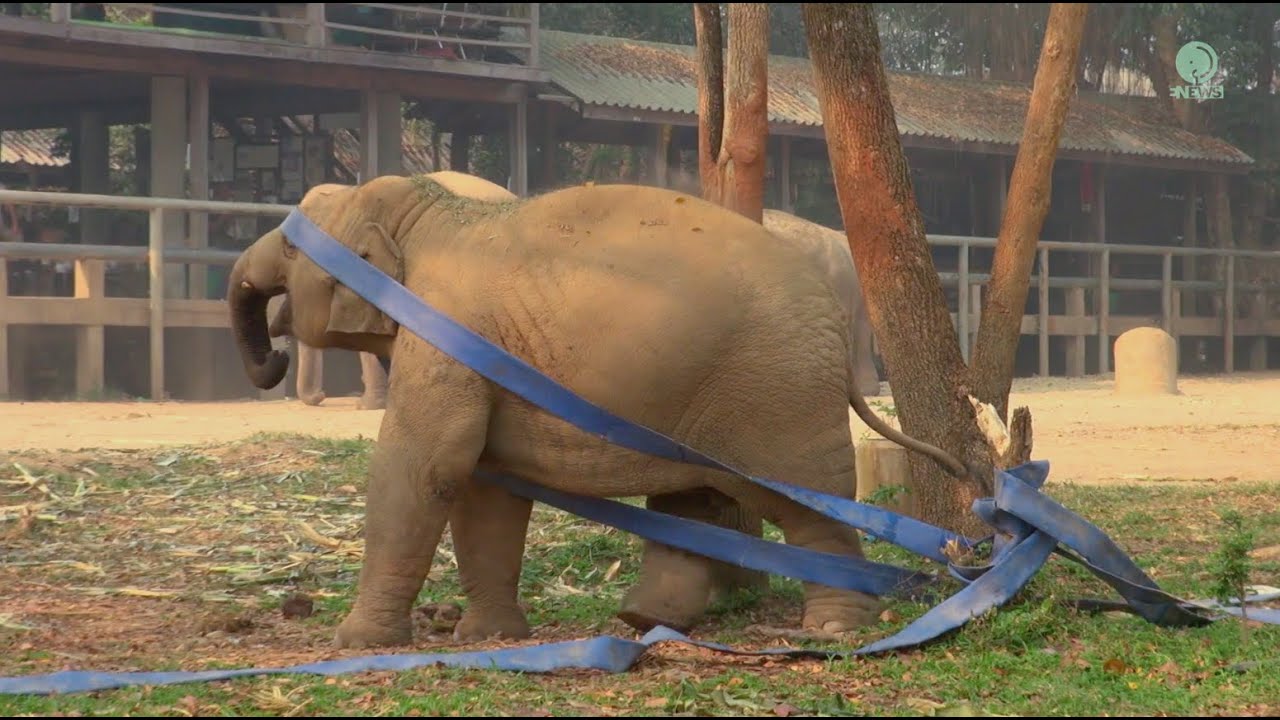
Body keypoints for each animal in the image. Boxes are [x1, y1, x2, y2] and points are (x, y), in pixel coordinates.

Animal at [227, 174, 964, 649]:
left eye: (291, 247)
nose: (272, 360)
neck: (431, 212)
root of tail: (833, 318)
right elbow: (485, 486)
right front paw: (491, 635)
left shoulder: (447, 336)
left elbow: (427, 465)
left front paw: (355, 642)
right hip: (703, 389)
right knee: (694, 502)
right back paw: (641, 622)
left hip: (777, 391)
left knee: (810, 503)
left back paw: (835, 627)